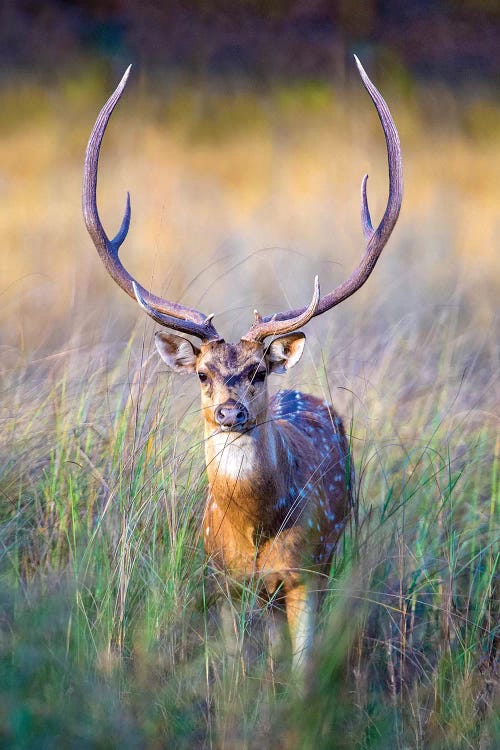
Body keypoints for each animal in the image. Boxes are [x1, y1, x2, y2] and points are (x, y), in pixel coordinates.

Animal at [82, 60, 402, 668]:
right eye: (202, 374)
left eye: (258, 371)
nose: (230, 412)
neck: (254, 531)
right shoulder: (222, 579)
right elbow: (233, 664)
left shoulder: (306, 574)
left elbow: (302, 670)